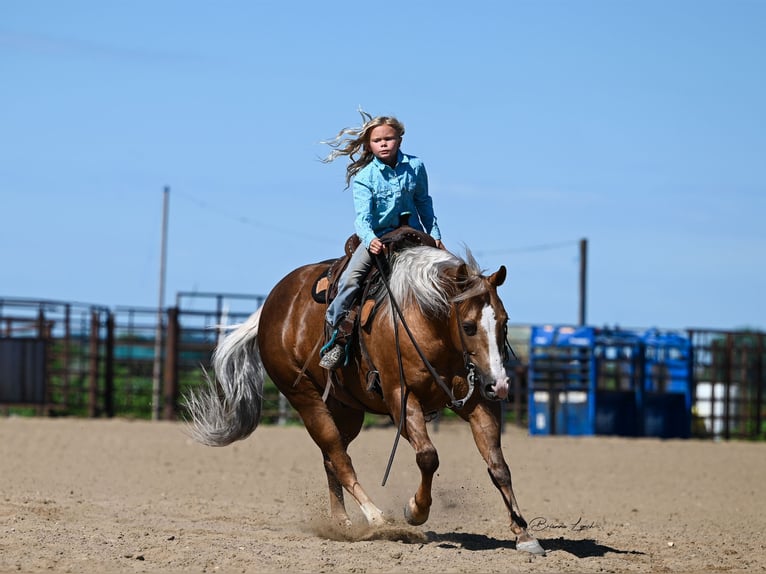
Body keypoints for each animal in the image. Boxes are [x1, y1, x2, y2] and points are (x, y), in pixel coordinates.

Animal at [186, 241, 544, 556]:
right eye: (468, 326)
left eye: (504, 322)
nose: (499, 385)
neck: (424, 319)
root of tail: (271, 305)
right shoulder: (401, 398)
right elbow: (428, 457)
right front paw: (415, 510)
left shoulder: (478, 402)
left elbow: (498, 466)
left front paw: (524, 533)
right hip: (305, 398)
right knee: (339, 458)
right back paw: (376, 518)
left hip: (346, 409)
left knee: (332, 458)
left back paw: (342, 523)